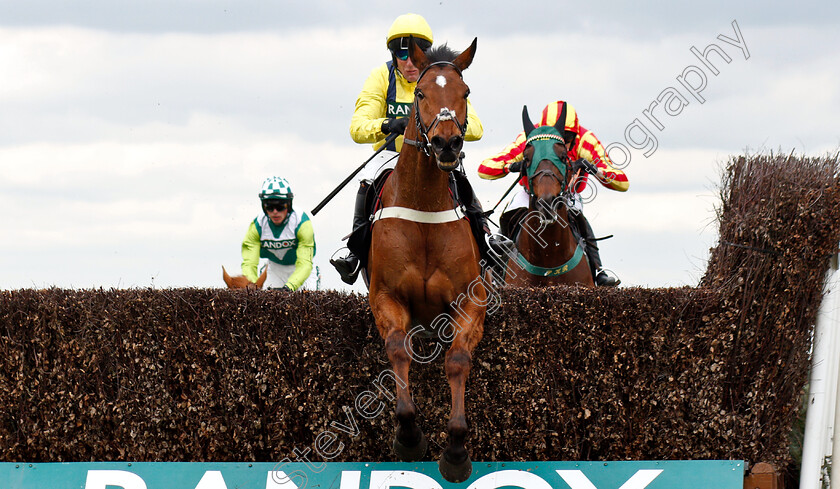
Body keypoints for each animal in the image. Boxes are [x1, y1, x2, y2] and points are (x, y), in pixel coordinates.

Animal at [368, 37, 486, 480]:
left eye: (465, 92)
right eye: (420, 94)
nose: (446, 143)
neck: (423, 208)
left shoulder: (471, 300)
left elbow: (456, 360)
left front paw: (455, 449)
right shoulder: (386, 297)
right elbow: (399, 350)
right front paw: (409, 436)